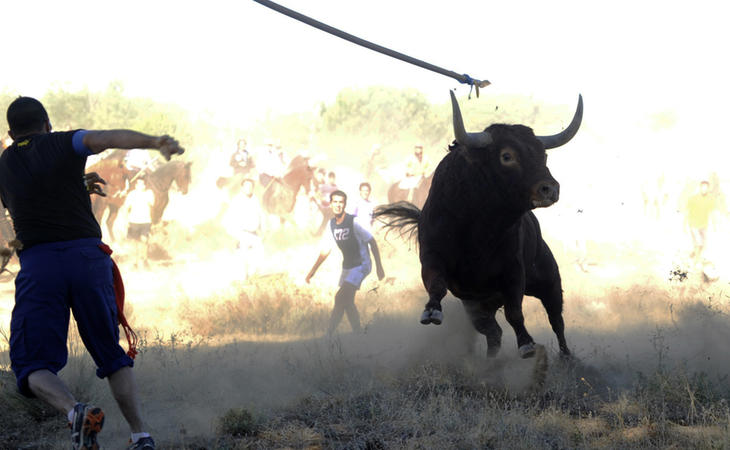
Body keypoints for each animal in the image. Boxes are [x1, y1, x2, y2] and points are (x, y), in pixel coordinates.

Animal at [372, 91, 584, 358]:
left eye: (543, 155)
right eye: (507, 156)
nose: (550, 189)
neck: (477, 227)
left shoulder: (514, 271)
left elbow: (515, 312)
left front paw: (526, 343)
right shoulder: (432, 256)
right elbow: (436, 285)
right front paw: (431, 311)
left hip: (549, 279)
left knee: (556, 319)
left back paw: (566, 357)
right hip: (479, 307)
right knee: (494, 333)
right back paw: (491, 361)